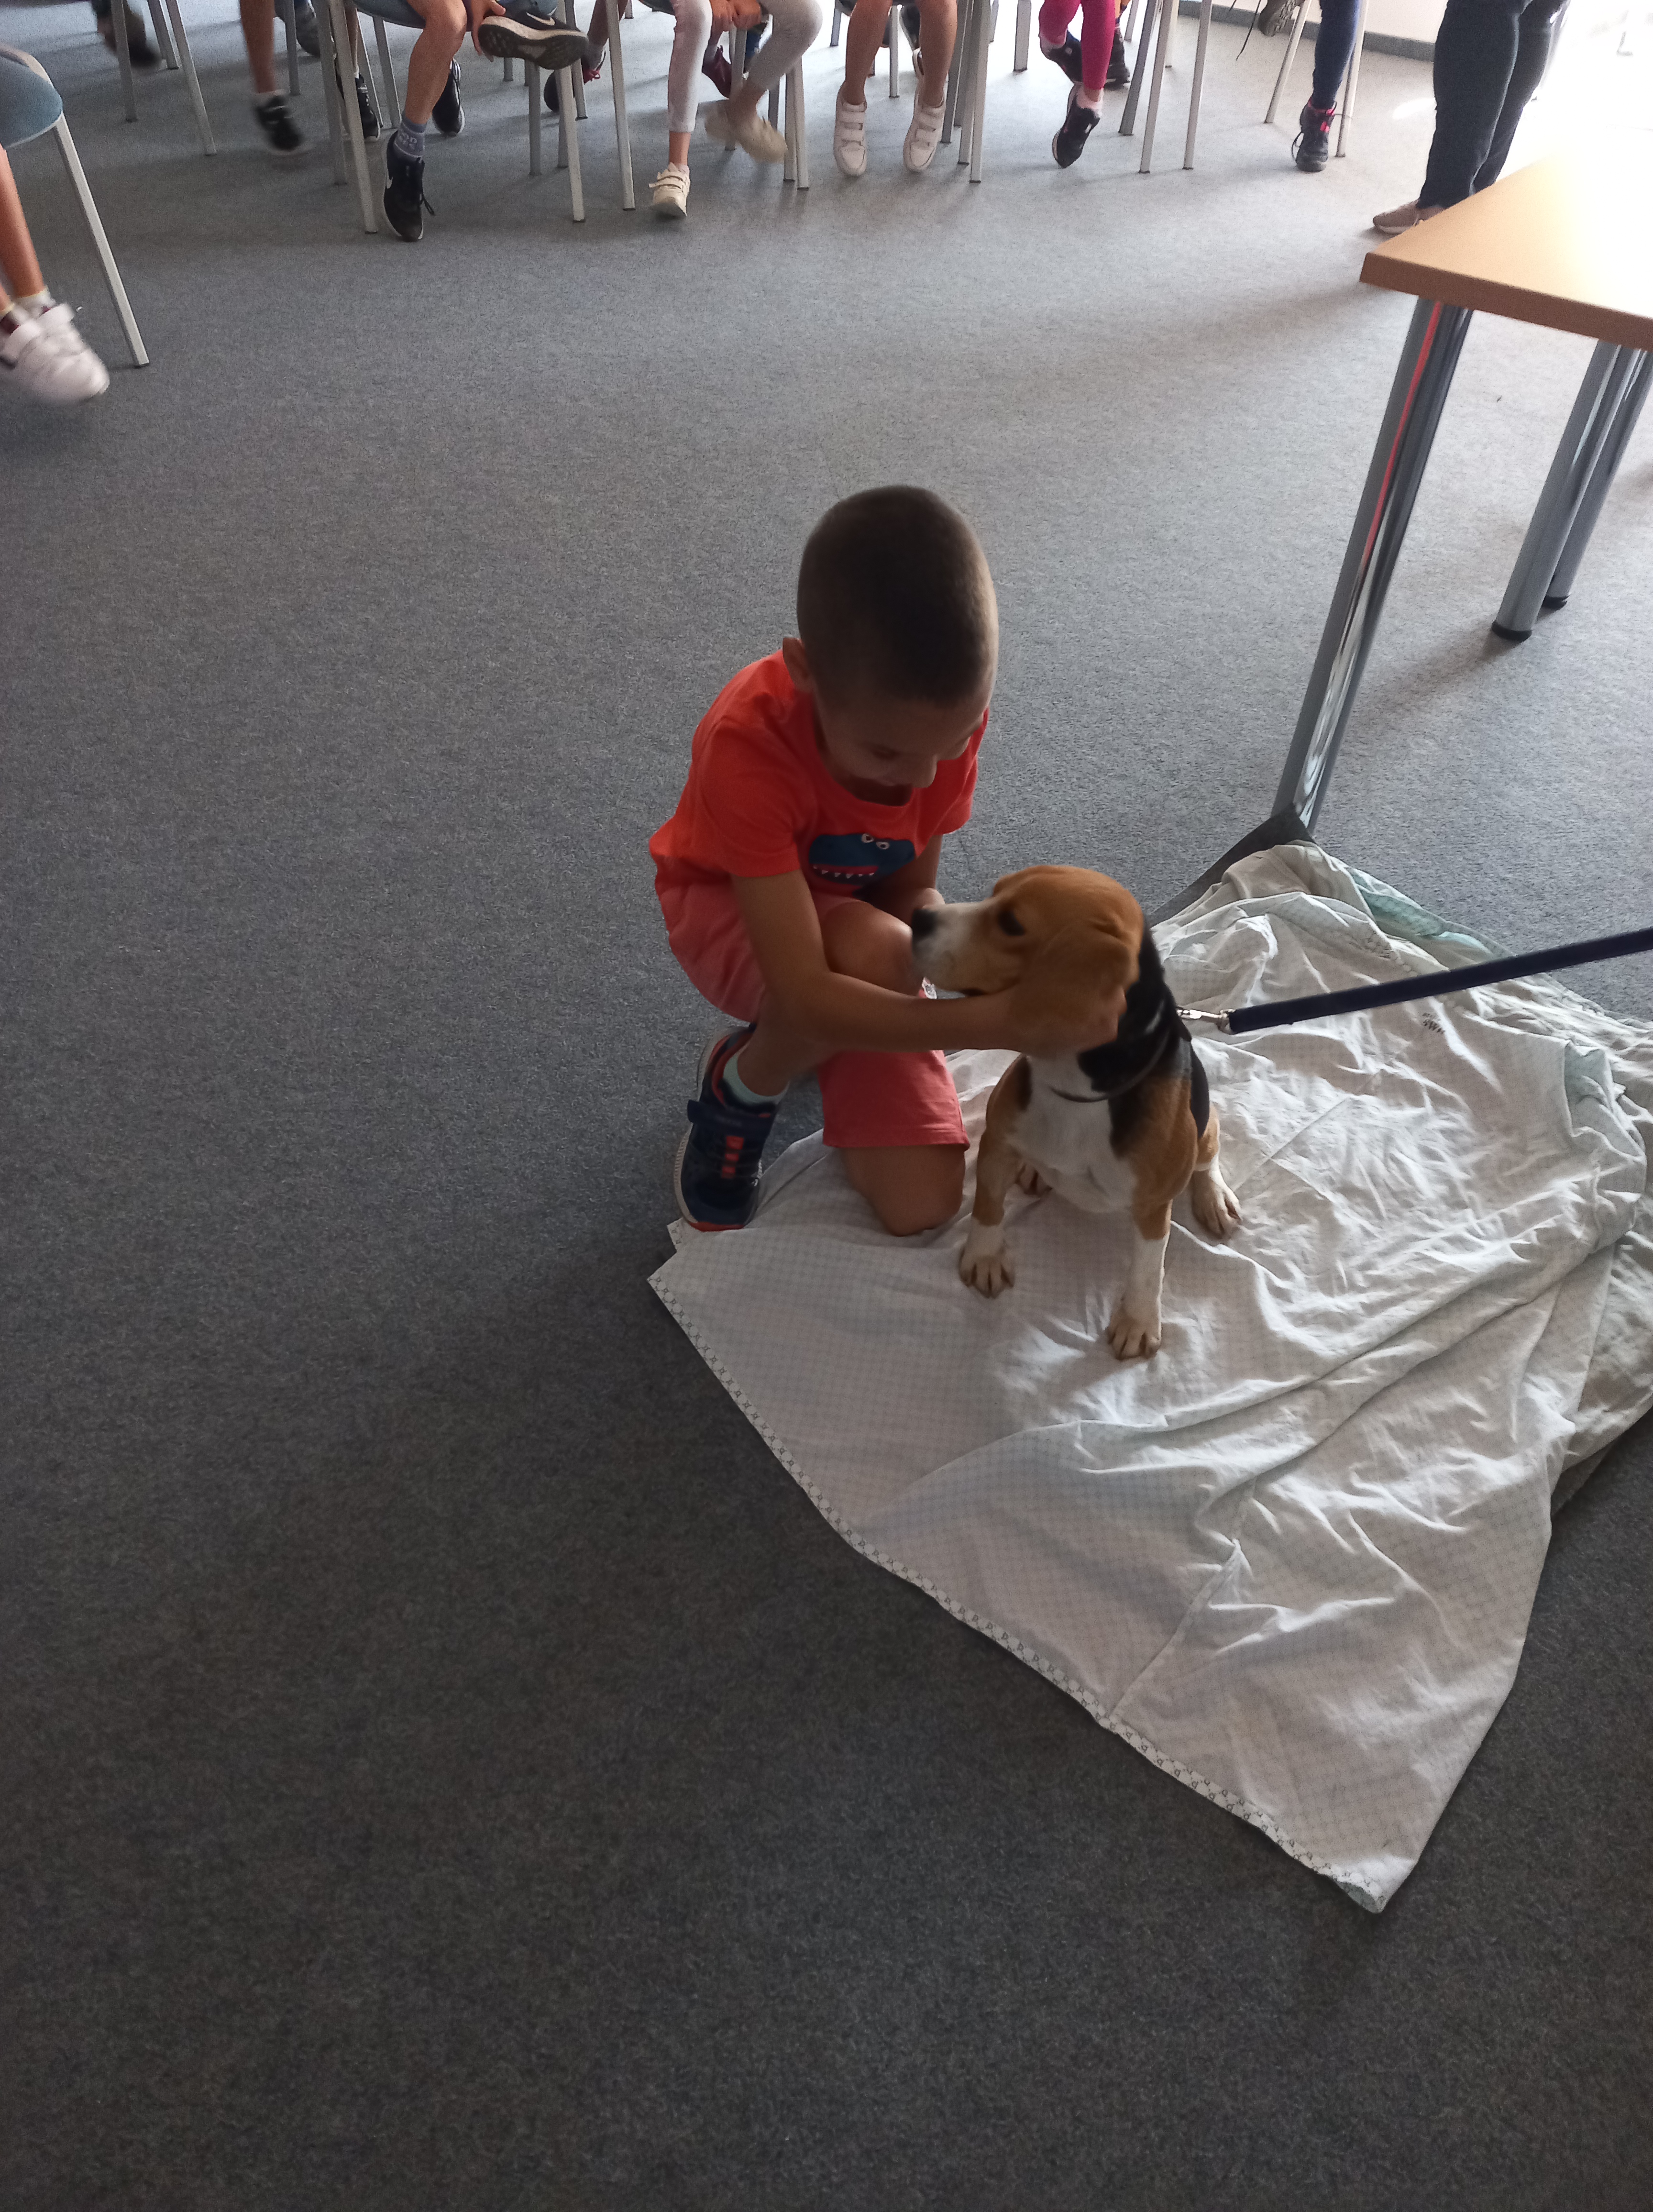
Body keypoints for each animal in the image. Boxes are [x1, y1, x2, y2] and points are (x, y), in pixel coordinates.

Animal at [910, 866, 1242, 1360]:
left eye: (1011, 923)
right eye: (994, 894)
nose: (918, 916)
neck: (1076, 1088)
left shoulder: (1152, 1207)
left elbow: (1148, 1268)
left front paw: (1137, 1321)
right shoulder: (998, 1140)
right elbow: (987, 1204)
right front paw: (985, 1256)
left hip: (1205, 1128)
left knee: (1208, 1158)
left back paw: (1213, 1197)